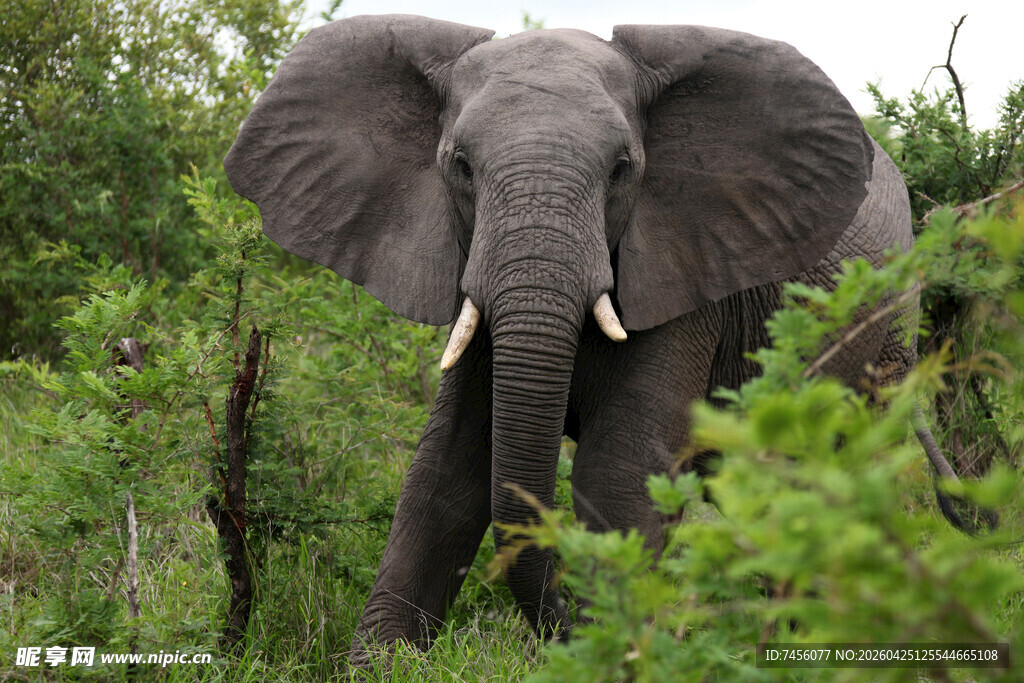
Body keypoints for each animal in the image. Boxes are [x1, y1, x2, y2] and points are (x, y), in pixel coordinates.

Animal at [224, 14, 935, 660]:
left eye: (623, 169)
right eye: (460, 166)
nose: (557, 636)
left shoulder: (685, 281)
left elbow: (617, 472)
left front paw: (612, 652)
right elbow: (446, 470)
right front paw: (380, 664)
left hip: (890, 340)